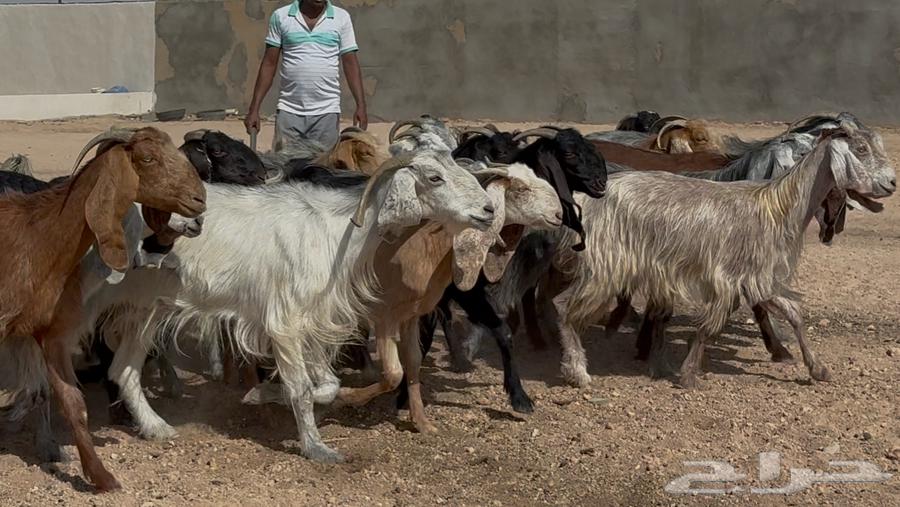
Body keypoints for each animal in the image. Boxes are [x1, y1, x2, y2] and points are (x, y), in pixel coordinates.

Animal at [0, 127, 206, 492]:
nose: (199, 201)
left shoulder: (52, 334)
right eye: (147, 158)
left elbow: (73, 403)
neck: (36, 237)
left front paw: (100, 475)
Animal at [556, 123, 895, 389]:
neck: (778, 206)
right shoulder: (728, 276)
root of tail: (590, 197)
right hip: (605, 265)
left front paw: (817, 368)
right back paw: (578, 372)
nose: (891, 183)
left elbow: (794, 313)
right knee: (566, 311)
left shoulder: (759, 278)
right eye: (861, 149)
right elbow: (710, 325)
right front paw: (688, 375)